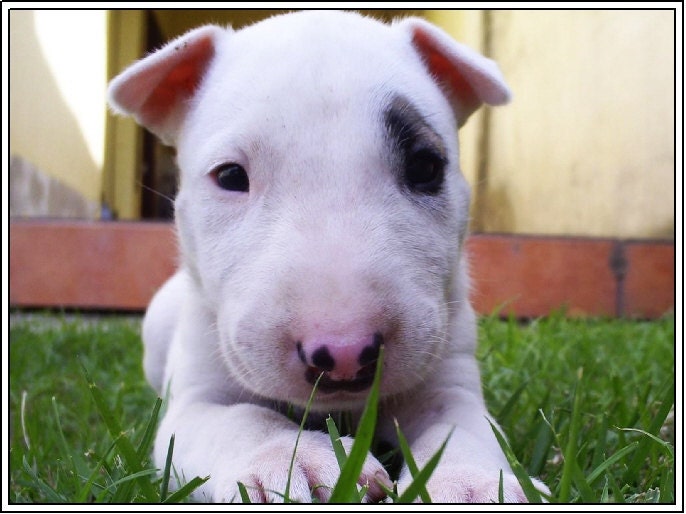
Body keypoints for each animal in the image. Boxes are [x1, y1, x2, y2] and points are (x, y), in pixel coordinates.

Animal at [109, 10, 548, 502]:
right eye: (230, 176)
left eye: (425, 167)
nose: (344, 355)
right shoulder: (195, 403)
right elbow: (241, 418)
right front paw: (291, 461)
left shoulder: (449, 379)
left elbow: (461, 427)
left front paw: (474, 483)